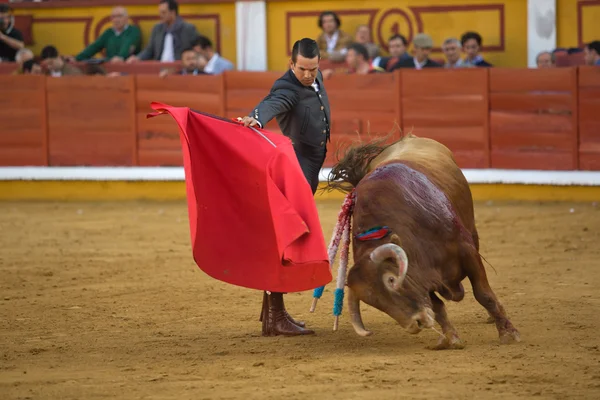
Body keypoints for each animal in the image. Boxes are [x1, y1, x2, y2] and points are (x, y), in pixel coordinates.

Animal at [328, 134, 520, 346]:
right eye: (374, 302)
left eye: (391, 279)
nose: (416, 323)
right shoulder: (420, 276)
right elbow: (438, 307)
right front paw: (450, 340)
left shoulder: (466, 250)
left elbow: (483, 294)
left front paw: (508, 334)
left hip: (472, 231)